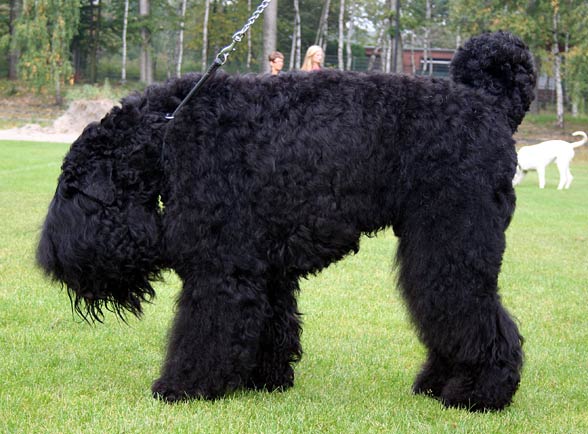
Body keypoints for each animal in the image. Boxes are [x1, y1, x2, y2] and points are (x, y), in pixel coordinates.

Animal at [35, 31, 532, 410]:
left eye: (72, 192)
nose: (50, 261)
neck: (169, 131)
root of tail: (492, 105)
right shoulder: (263, 263)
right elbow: (270, 321)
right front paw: (263, 379)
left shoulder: (220, 266)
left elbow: (204, 330)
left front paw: (182, 386)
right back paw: (437, 384)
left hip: (449, 245)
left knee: (475, 316)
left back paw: (479, 393)